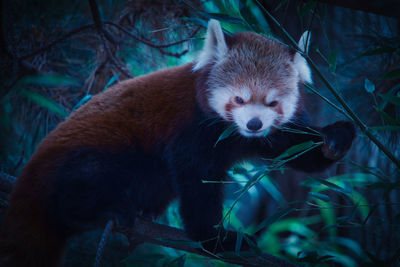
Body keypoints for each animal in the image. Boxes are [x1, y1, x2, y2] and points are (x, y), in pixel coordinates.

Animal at [0, 19, 356, 266]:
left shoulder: (262, 136)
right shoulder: (191, 129)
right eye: (239, 99)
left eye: (272, 103)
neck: (230, 132)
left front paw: (335, 138)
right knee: (86, 180)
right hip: (89, 158)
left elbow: (293, 149)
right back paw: (100, 209)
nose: (253, 124)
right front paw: (214, 238)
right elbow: (197, 183)